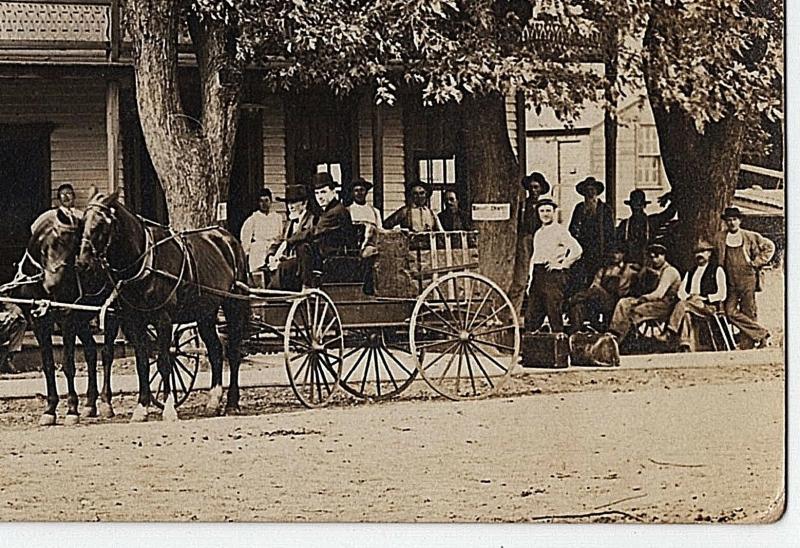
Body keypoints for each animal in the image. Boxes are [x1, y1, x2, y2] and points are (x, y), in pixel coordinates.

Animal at [19, 208, 119, 426]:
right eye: (57, 242)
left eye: (75, 247)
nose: (52, 285)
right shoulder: (38, 321)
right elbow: (48, 365)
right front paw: (50, 409)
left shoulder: (67, 318)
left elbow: (68, 365)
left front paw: (72, 409)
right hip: (81, 321)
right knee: (91, 352)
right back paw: (90, 404)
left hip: (111, 315)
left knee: (107, 354)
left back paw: (106, 402)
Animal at [77, 191, 250, 422]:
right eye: (82, 223)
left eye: (100, 225)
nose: (82, 263)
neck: (144, 263)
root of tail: (227, 237)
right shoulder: (134, 321)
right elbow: (142, 362)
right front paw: (141, 407)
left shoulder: (163, 320)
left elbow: (164, 361)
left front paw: (168, 408)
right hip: (205, 312)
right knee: (215, 349)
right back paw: (213, 401)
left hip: (233, 305)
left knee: (233, 352)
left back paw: (232, 403)